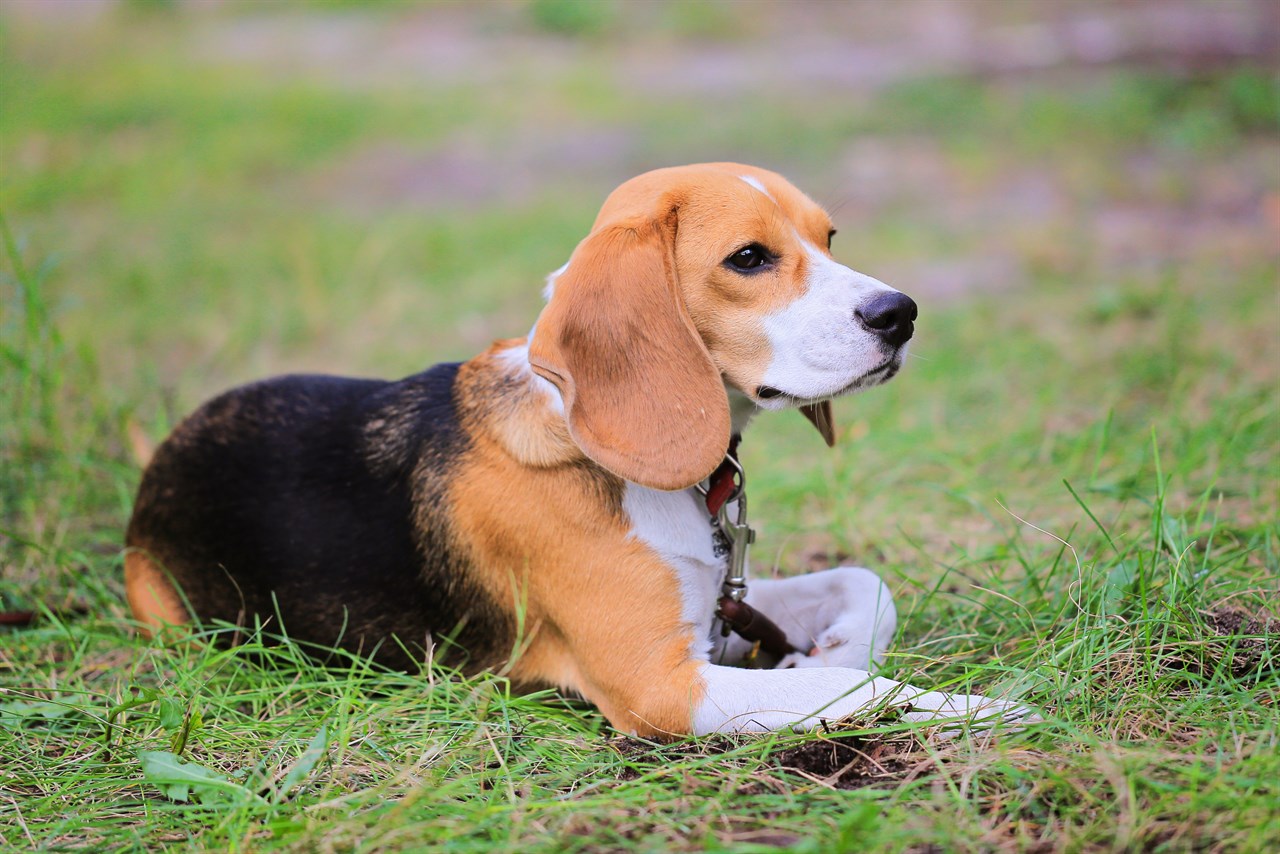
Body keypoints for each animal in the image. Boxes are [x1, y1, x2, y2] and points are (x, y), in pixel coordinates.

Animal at [124, 163, 1029, 737]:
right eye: (749, 258)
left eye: (829, 236)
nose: (900, 313)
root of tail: (162, 460)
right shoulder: (662, 685)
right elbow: (849, 689)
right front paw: (975, 708)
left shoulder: (714, 601)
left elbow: (863, 583)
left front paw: (835, 648)